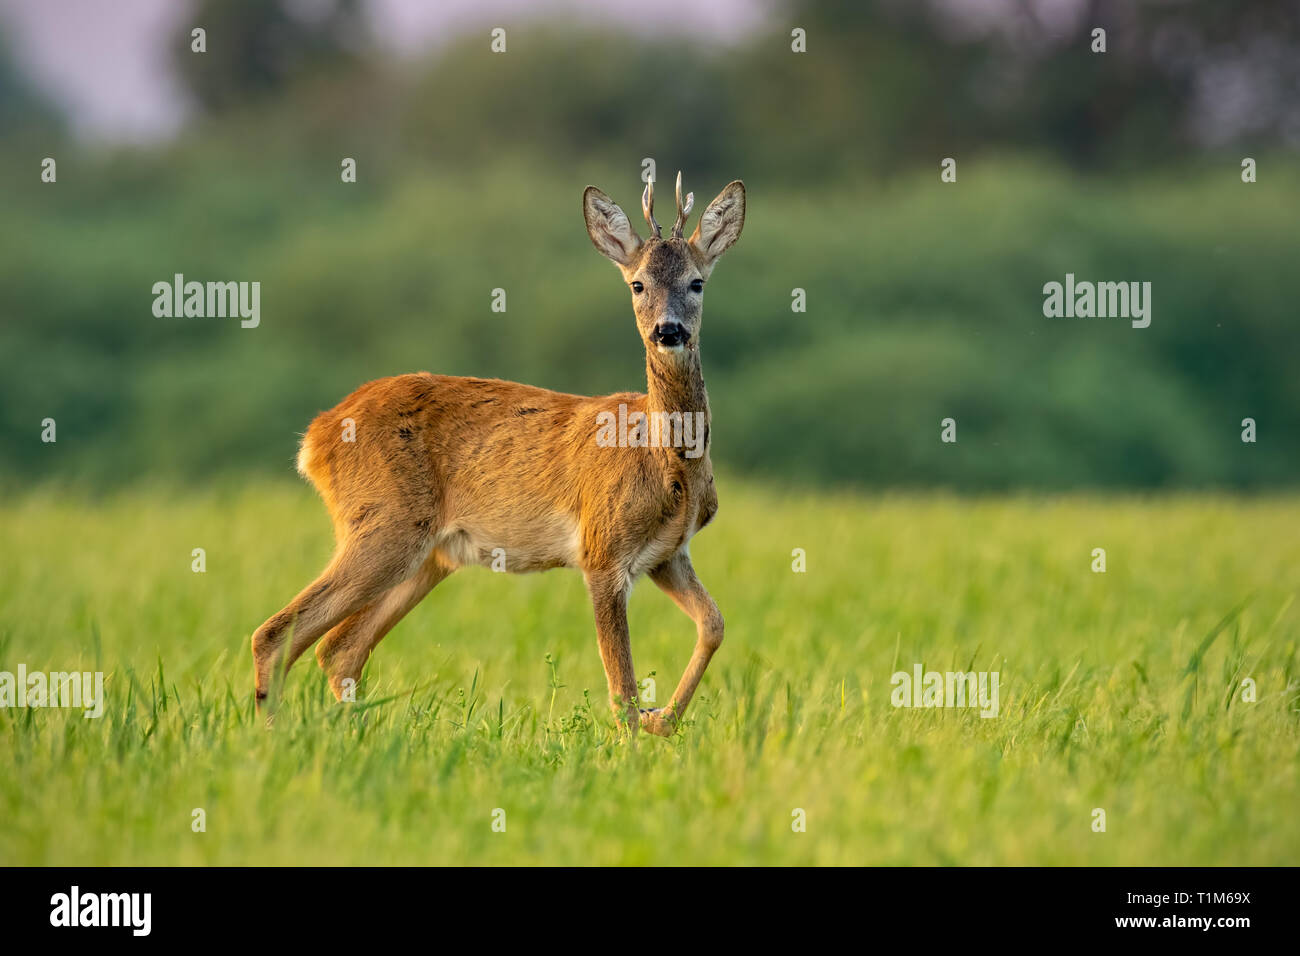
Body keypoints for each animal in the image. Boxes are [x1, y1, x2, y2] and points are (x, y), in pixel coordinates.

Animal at [249, 174, 748, 738]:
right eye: (637, 284)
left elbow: (714, 623)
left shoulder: (667, 553)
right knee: (276, 634)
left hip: (429, 554)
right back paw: (272, 741)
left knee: (339, 650)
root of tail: (315, 437)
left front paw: (662, 719)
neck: (669, 463)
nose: (668, 331)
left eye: (697, 282)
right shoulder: (601, 549)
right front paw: (639, 737)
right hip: (384, 524)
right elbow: (621, 687)